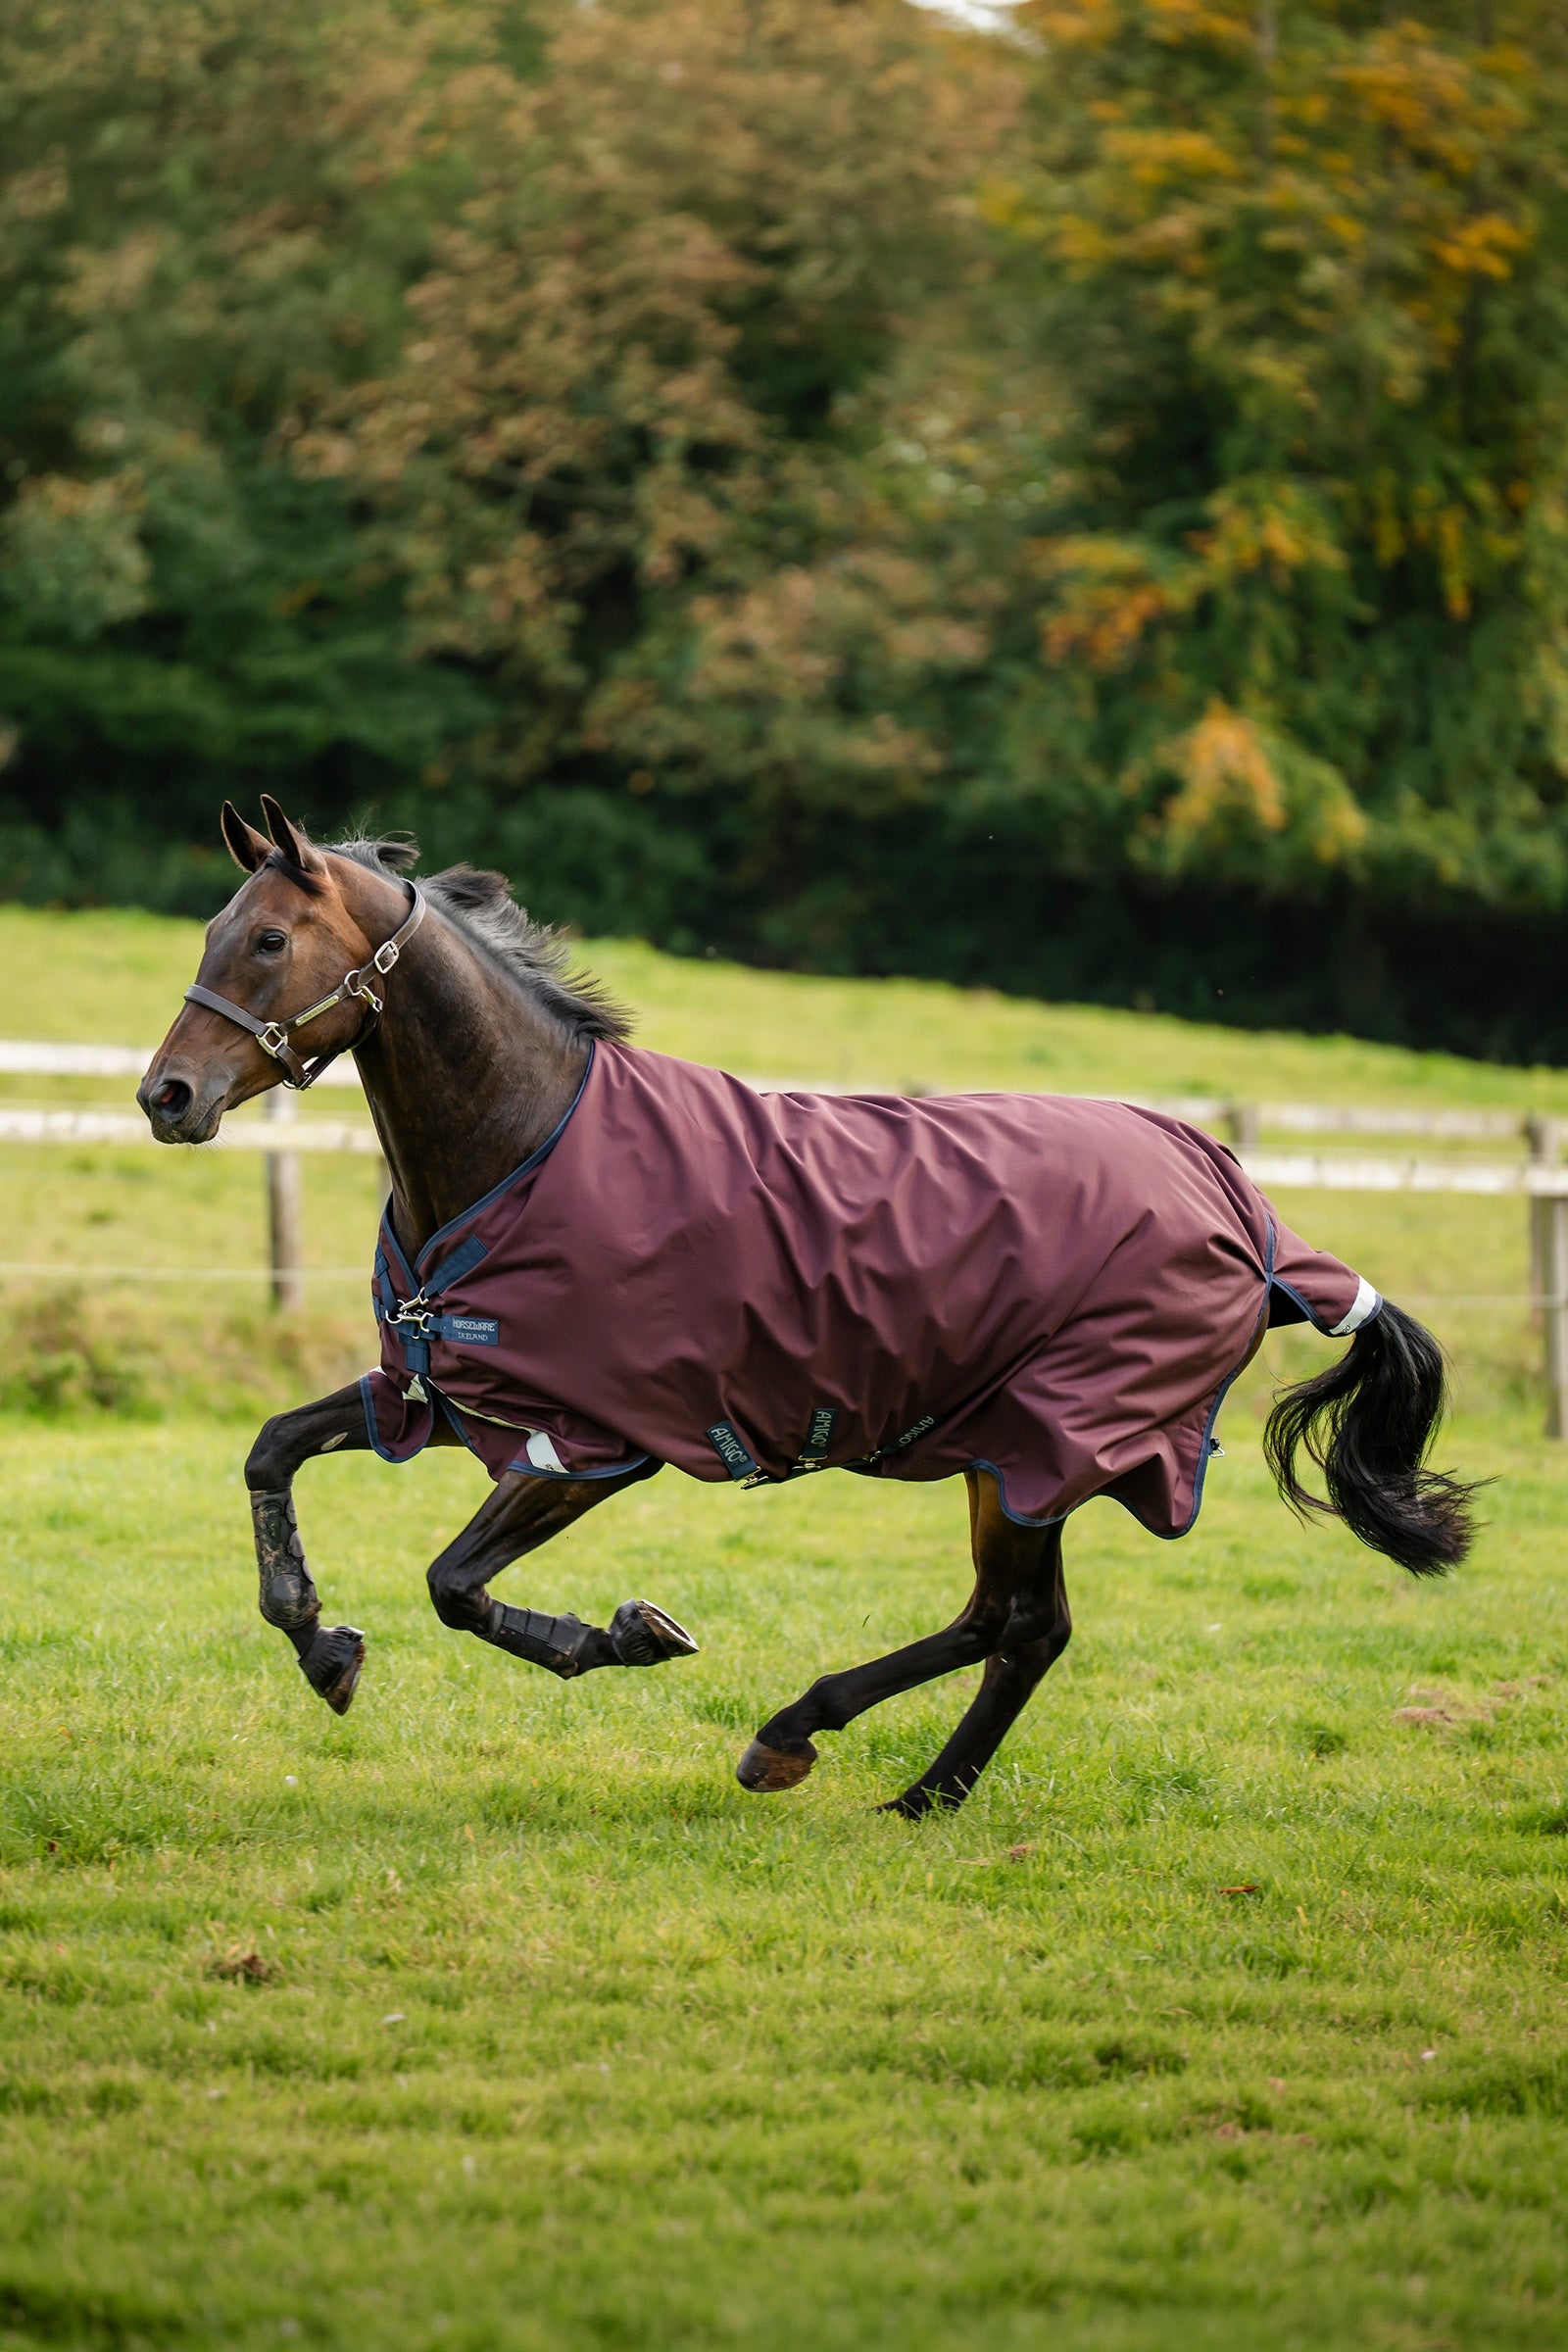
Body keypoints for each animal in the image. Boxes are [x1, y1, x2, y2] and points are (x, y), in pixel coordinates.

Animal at [137, 799, 1477, 1818]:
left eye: (267, 940)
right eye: (212, 930)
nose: (167, 1095)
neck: (526, 1142)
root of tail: (1251, 1218)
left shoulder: (593, 1444)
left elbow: (454, 1585)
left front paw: (626, 1634)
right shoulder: (431, 1388)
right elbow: (272, 1454)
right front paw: (322, 1644)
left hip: (1048, 1446)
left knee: (1015, 1623)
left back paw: (805, 1737)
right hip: (1004, 1450)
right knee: (1021, 1623)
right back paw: (914, 1790)